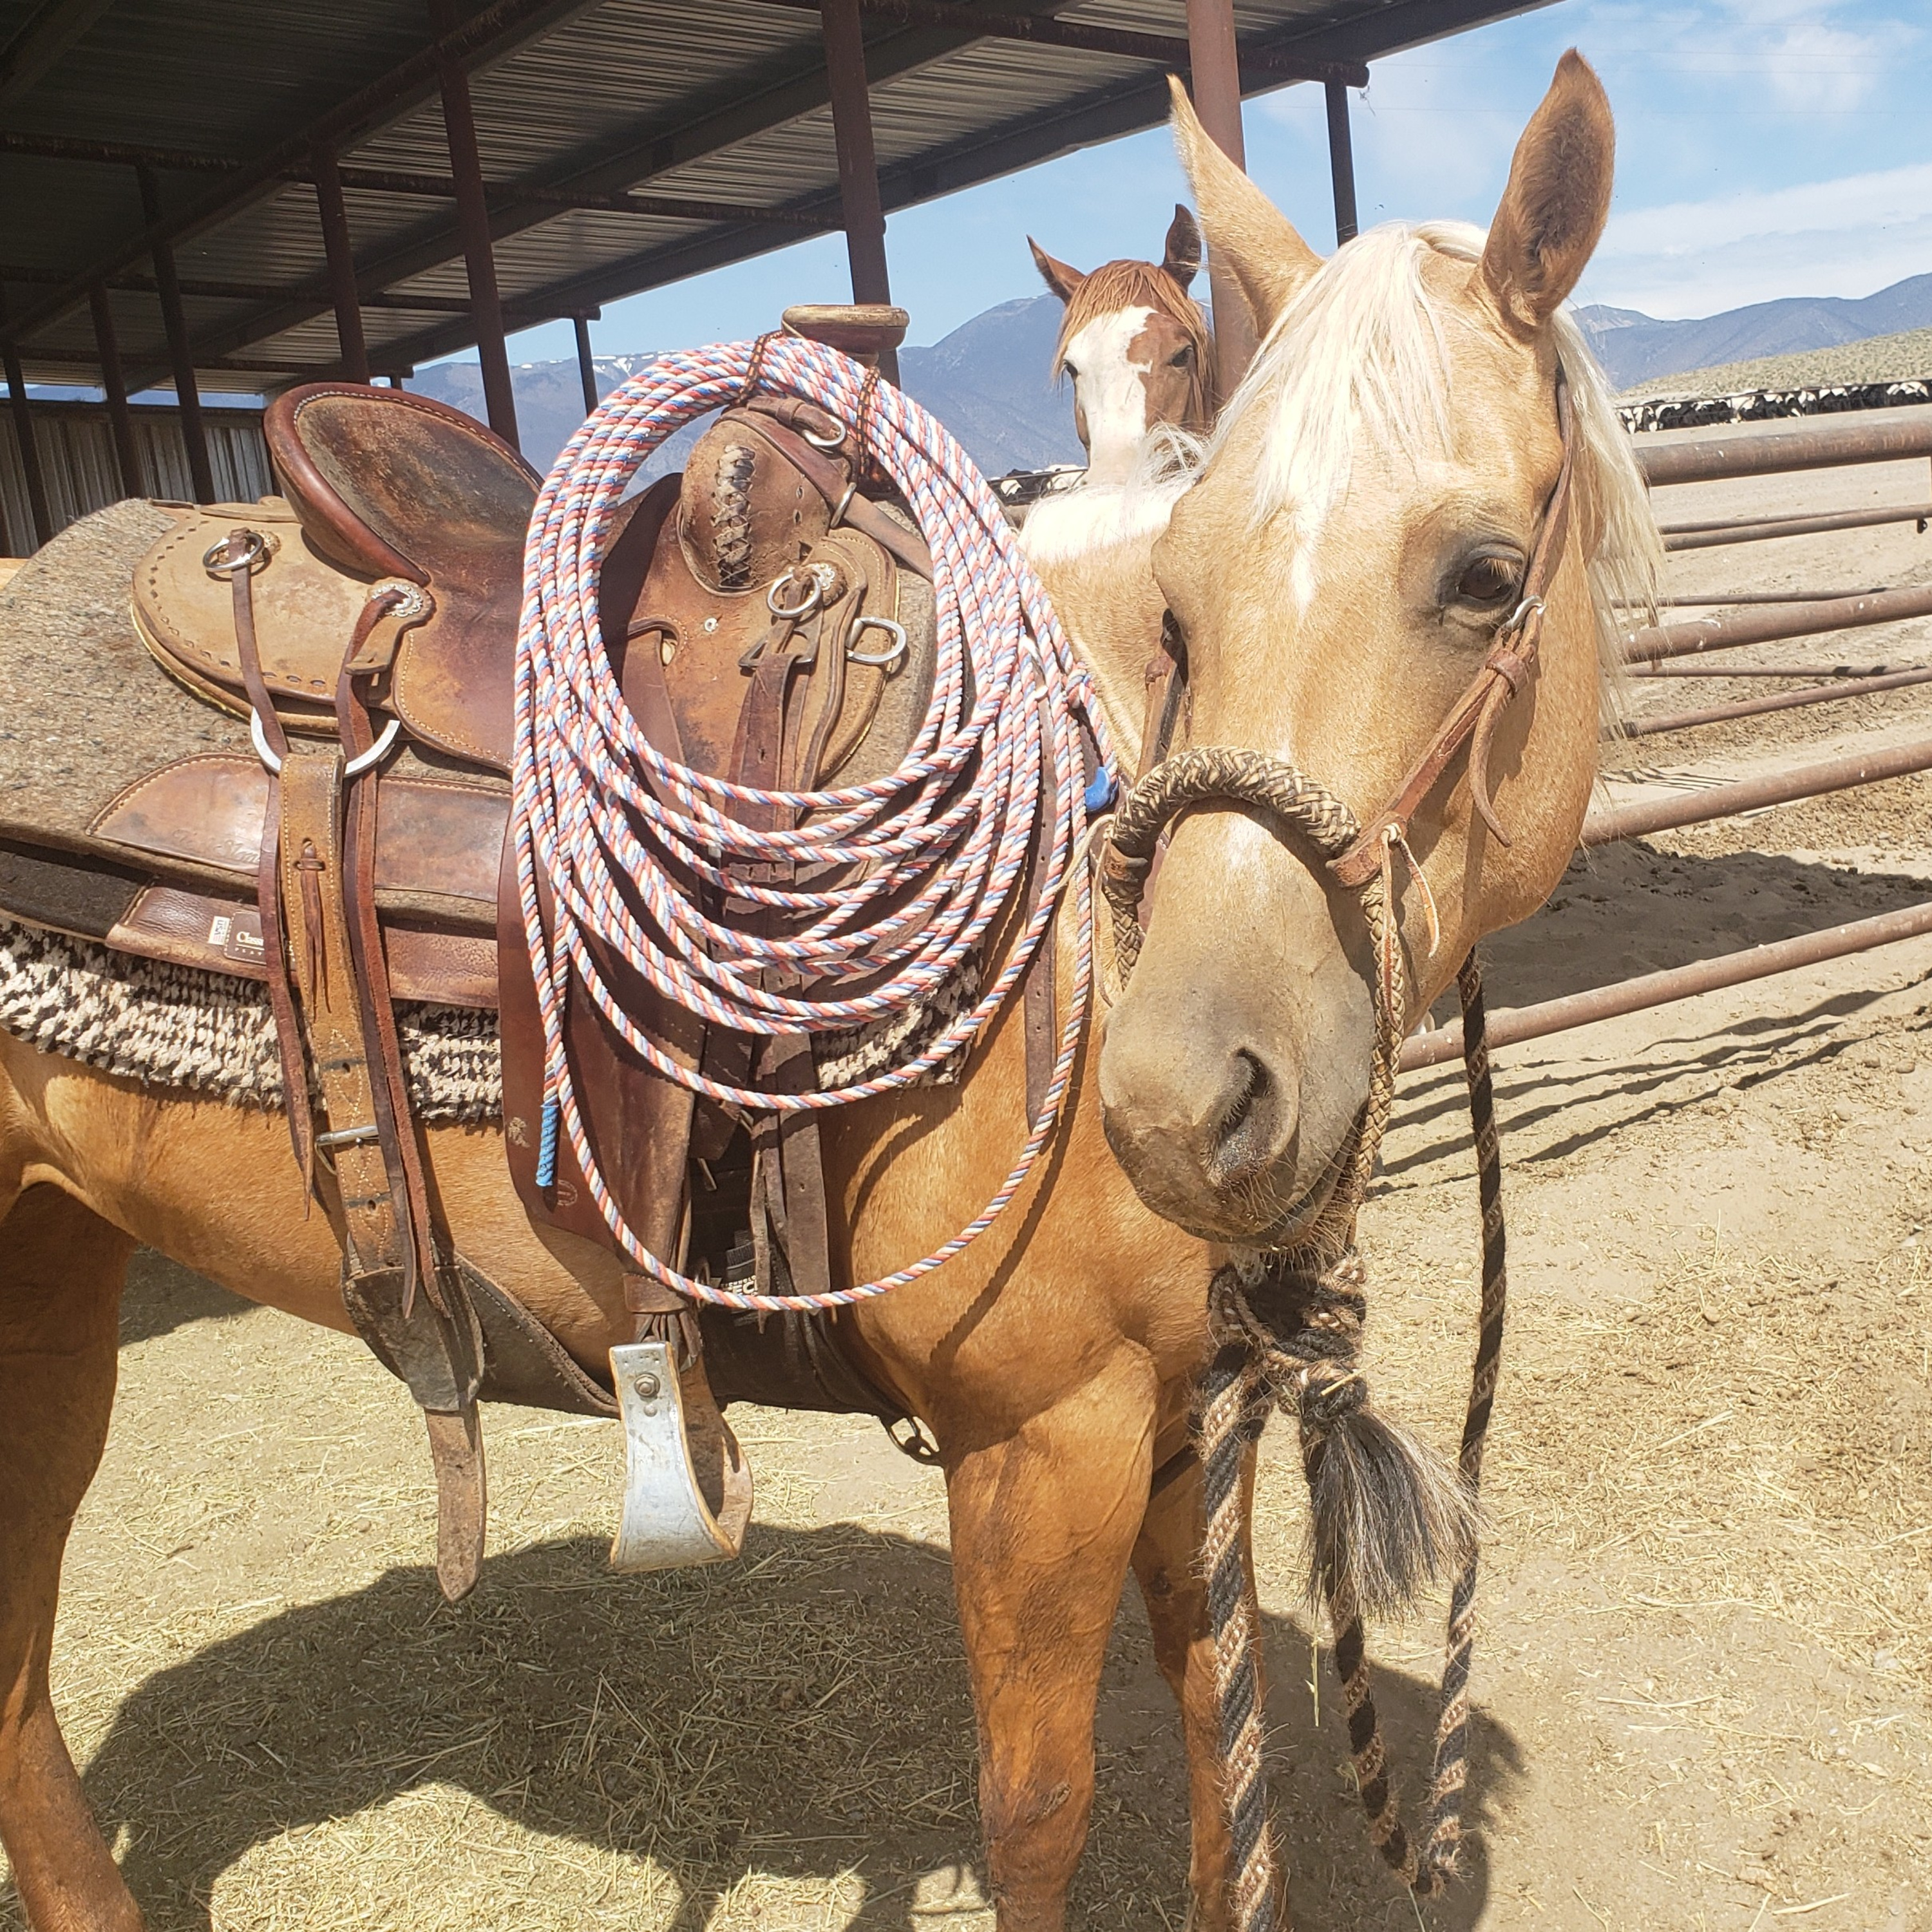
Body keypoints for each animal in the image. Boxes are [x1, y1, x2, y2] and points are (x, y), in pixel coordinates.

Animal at [0, 51, 1654, 1932]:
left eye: (1484, 577)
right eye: (1182, 597)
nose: (1183, 1102)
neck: (1086, 926)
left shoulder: (1177, 1417)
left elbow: (1213, 1750)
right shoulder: (1045, 1443)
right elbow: (1037, 1808)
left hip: (55, 1266)